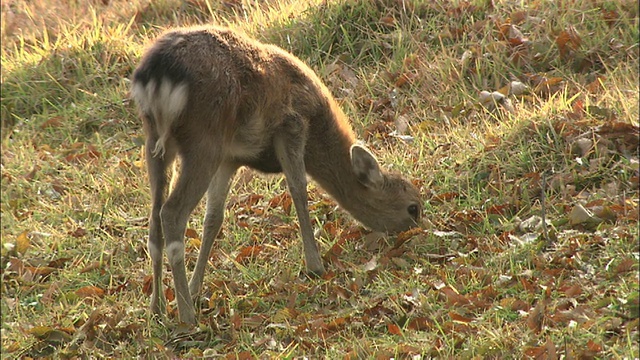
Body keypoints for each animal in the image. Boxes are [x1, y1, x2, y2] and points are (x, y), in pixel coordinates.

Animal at [131, 24, 422, 324]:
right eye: (413, 207)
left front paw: (195, 288)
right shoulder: (291, 126)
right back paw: (187, 317)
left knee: (154, 220)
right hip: (204, 138)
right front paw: (315, 265)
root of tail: (156, 75)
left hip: (157, 142)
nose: (417, 232)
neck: (319, 134)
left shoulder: (229, 159)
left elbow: (214, 218)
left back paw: (157, 307)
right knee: (171, 213)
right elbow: (298, 189)